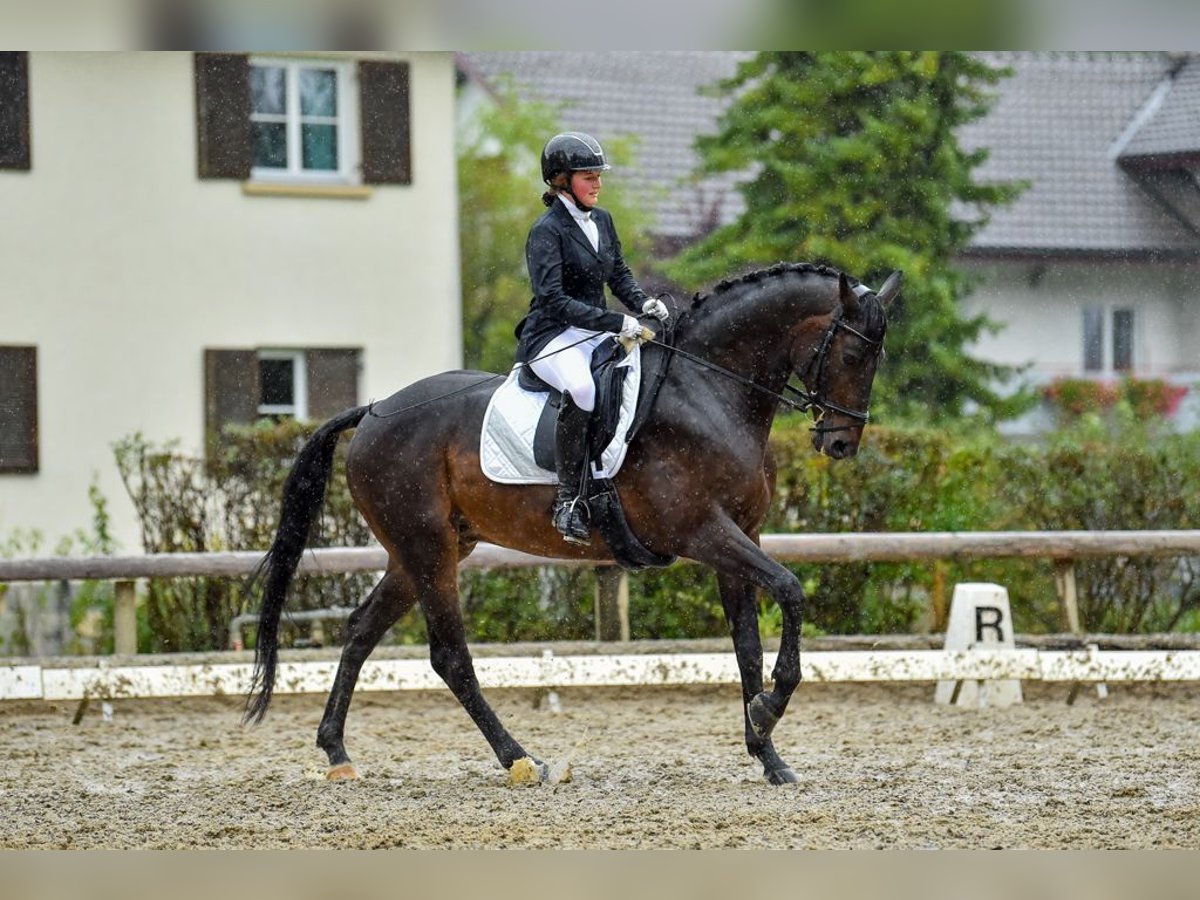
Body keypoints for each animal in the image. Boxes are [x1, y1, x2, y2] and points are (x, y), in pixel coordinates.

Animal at [248, 264, 897, 787]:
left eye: (876, 358)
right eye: (851, 355)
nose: (841, 443)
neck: (709, 391)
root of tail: (375, 410)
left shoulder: (742, 536)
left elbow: (746, 645)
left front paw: (767, 752)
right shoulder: (703, 533)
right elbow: (790, 589)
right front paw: (768, 711)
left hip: (426, 551)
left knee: (361, 629)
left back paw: (337, 753)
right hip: (427, 550)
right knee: (449, 656)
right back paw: (521, 760)